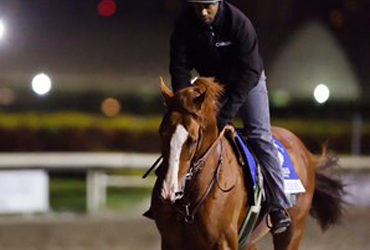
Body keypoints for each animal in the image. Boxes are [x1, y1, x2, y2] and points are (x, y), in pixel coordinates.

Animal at [147, 77, 344, 249]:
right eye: (162, 132)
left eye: (192, 140)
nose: (169, 191)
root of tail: (306, 153)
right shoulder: (170, 242)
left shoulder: (224, 242)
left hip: (292, 231)